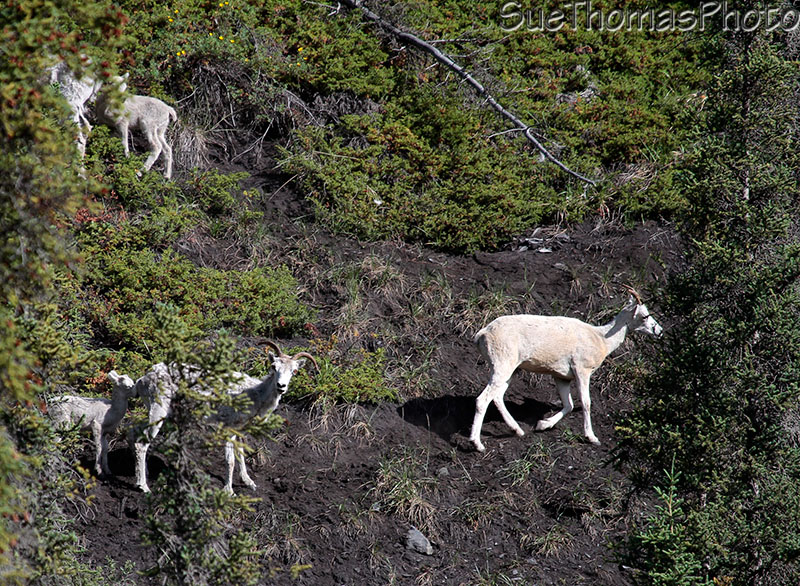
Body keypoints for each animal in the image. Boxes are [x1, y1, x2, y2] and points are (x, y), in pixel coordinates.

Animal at [132, 341, 317, 494]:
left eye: (294, 371)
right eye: (273, 366)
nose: (281, 386)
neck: (253, 395)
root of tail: (143, 379)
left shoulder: (239, 431)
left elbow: (241, 454)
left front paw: (249, 483)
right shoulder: (228, 429)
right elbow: (230, 460)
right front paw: (229, 491)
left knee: (135, 433)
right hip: (159, 410)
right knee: (142, 444)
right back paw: (144, 486)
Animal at [470, 289, 662, 452]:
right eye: (645, 316)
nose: (659, 331)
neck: (602, 339)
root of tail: (482, 333)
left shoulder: (562, 378)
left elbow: (568, 405)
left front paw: (542, 425)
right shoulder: (582, 371)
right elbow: (585, 402)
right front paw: (592, 438)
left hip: (510, 371)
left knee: (497, 397)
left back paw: (518, 431)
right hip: (502, 367)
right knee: (482, 399)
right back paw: (477, 444)